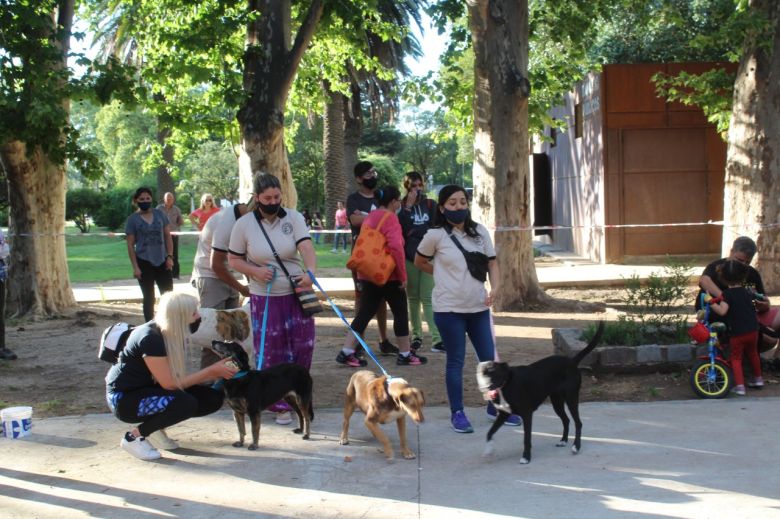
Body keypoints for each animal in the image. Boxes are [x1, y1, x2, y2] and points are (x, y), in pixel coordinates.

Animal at [476, 322, 604, 466]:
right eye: (479, 373)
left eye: (491, 371)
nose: (484, 387)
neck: (506, 383)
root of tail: (571, 361)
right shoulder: (503, 414)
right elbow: (489, 433)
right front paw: (488, 450)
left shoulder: (527, 415)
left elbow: (526, 438)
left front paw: (526, 457)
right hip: (556, 402)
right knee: (566, 420)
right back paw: (563, 441)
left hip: (571, 398)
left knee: (578, 423)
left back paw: (576, 446)